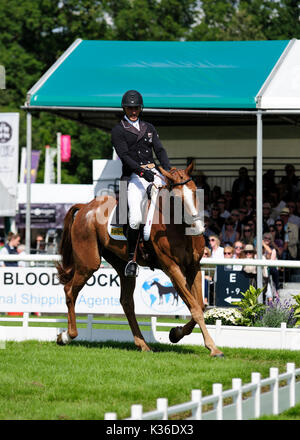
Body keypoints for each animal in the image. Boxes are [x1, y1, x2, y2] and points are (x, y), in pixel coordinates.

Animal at [56, 165, 224, 358]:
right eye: (176, 198)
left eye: (195, 191)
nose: (198, 228)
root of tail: (85, 207)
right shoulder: (172, 268)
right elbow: (195, 308)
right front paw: (213, 348)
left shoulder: (193, 267)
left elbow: (200, 307)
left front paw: (175, 333)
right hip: (88, 264)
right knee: (70, 291)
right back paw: (66, 336)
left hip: (122, 265)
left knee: (127, 302)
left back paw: (143, 344)